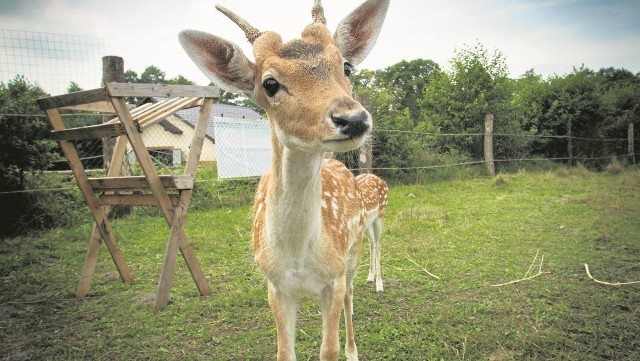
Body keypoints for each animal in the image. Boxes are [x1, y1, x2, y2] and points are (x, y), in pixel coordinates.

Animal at [180, 1, 390, 358]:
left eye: (346, 66)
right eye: (270, 84)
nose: (352, 118)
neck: (297, 256)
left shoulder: (332, 277)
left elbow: (328, 350)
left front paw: (345, 350)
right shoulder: (275, 285)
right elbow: (284, 352)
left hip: (355, 245)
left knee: (352, 293)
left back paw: (355, 345)